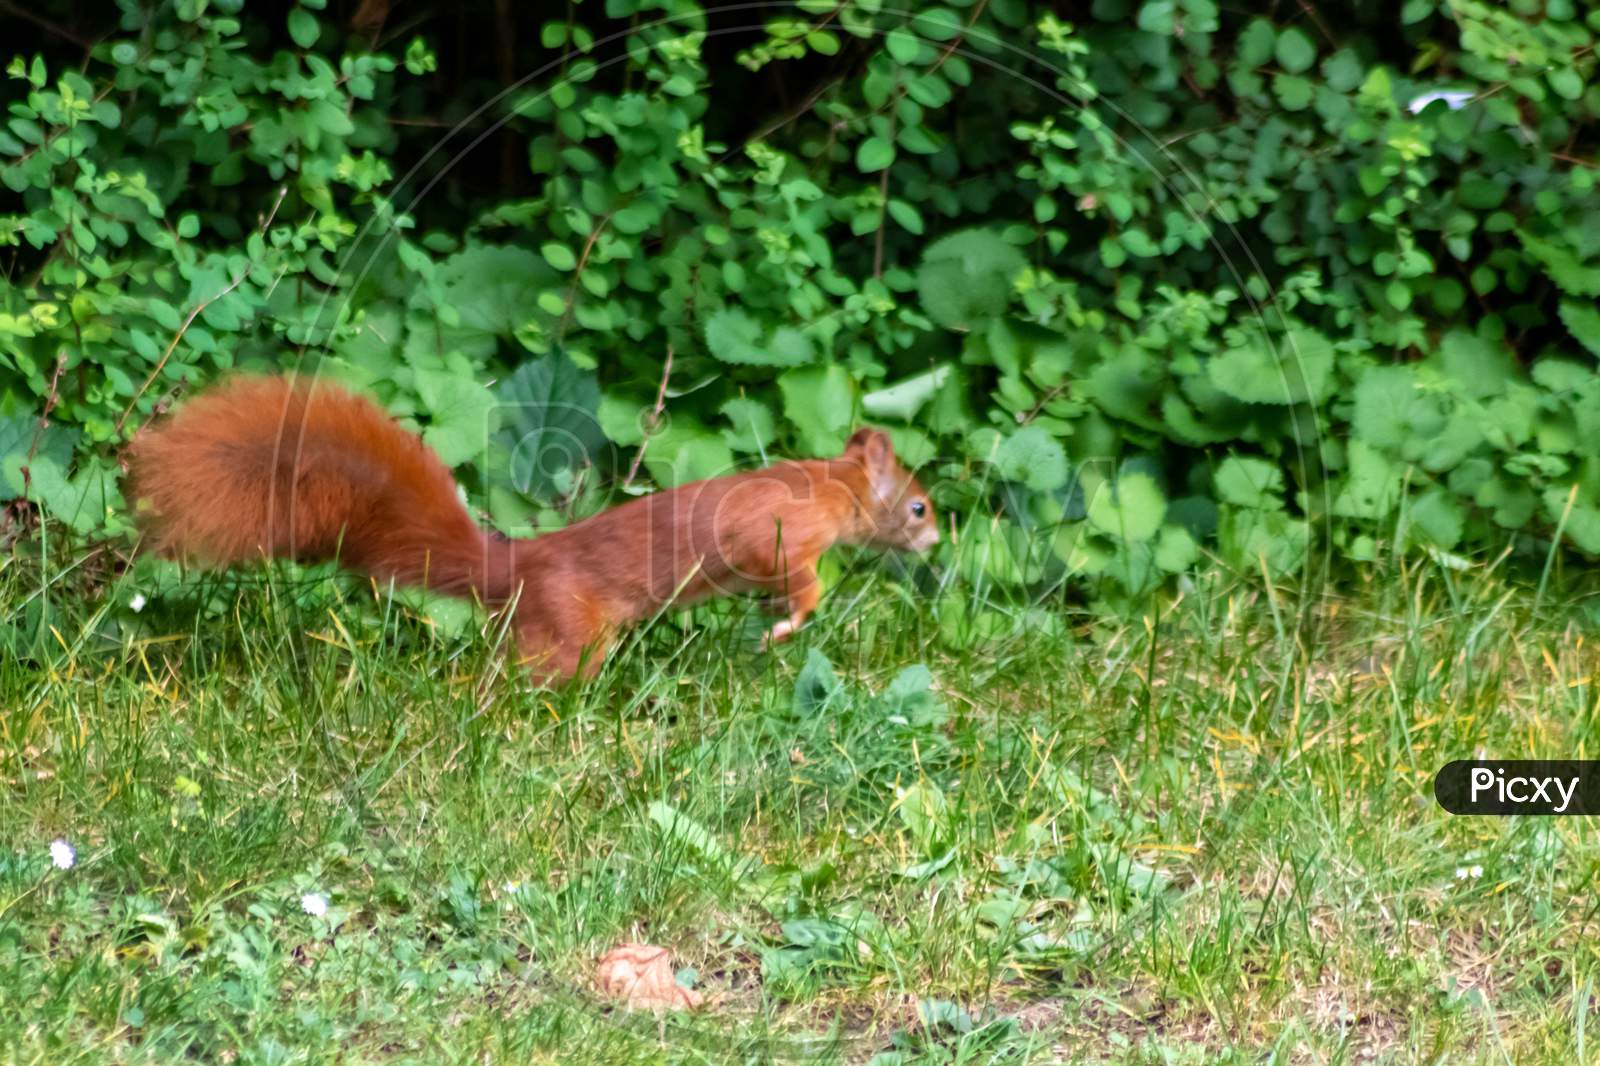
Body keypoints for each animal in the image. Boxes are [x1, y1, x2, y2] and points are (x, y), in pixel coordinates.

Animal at [131, 372, 940, 681]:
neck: (829, 487)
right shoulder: (780, 536)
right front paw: (786, 624)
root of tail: (513, 570)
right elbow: (801, 585)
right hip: (573, 632)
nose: (936, 542)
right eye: (919, 505)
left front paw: (769, 622)